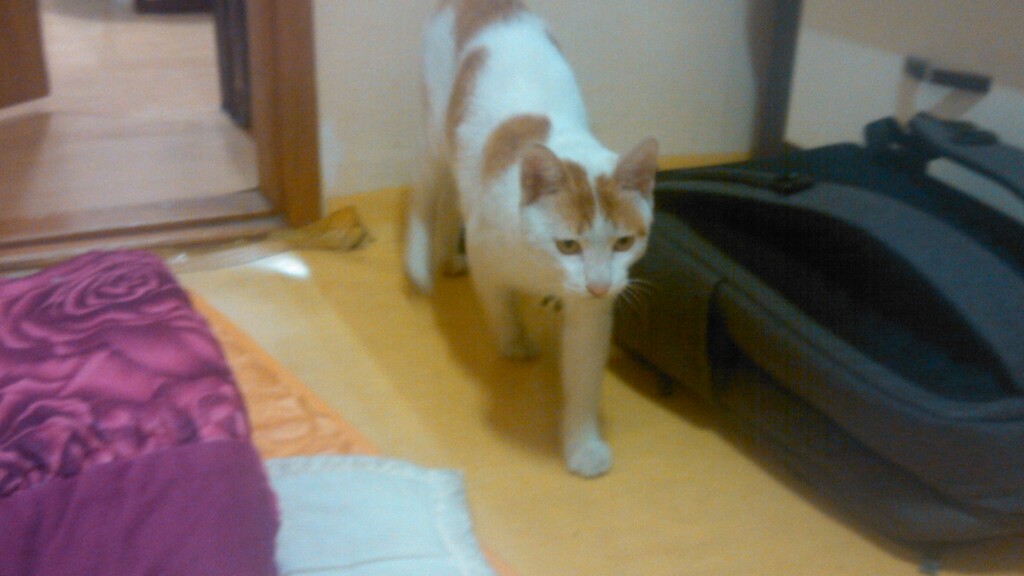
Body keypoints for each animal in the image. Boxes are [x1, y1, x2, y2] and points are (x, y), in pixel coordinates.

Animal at [404, 0, 658, 478]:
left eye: (623, 243)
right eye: (568, 245)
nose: (600, 285)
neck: (540, 269)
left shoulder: (589, 316)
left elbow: (583, 379)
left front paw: (582, 445)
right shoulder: (488, 258)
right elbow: (499, 306)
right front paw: (514, 342)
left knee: (454, 200)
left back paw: (447, 255)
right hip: (434, 135)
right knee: (426, 194)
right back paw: (418, 261)